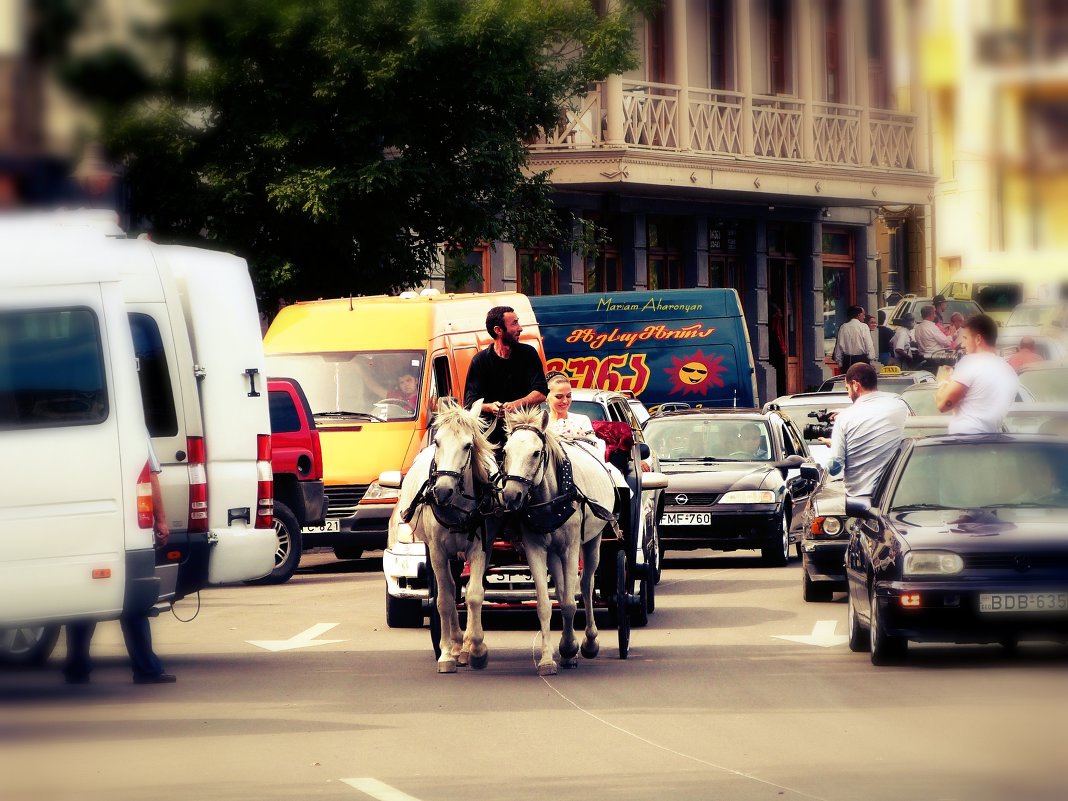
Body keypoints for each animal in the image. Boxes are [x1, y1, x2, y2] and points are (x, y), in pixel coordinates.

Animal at [399, 399, 497, 674]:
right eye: (438, 442)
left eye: (468, 445)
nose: (442, 490)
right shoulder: (437, 552)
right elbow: (444, 599)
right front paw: (446, 653)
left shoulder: (480, 549)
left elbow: (474, 594)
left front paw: (476, 649)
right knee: (451, 590)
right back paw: (454, 646)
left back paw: (463, 648)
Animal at [499, 407, 619, 679]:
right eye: (505, 452)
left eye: (536, 453)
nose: (511, 496)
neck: (550, 500)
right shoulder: (535, 548)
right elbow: (546, 604)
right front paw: (549, 658)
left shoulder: (571, 547)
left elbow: (569, 604)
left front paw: (571, 647)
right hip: (554, 552)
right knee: (563, 587)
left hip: (593, 541)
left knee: (586, 584)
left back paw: (589, 642)